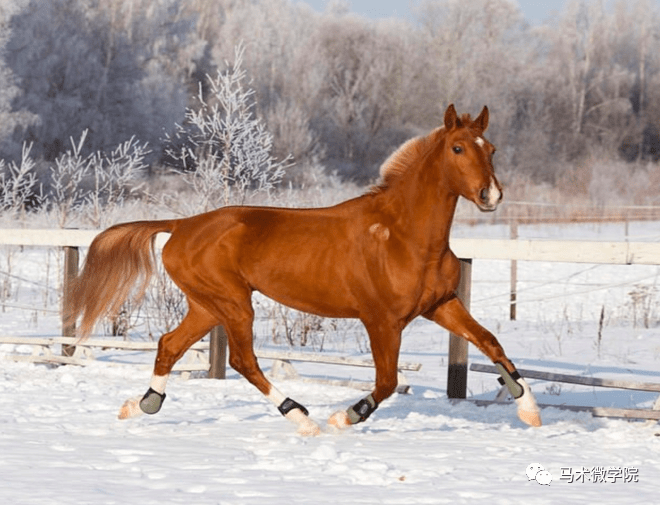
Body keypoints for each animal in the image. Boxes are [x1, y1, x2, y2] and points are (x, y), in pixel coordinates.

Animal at [65, 103, 540, 434]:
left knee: (169, 345)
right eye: (458, 148)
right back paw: (302, 418)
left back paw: (141, 405)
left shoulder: (441, 305)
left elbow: (491, 342)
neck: (402, 235)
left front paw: (529, 408)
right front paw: (345, 417)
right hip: (232, 303)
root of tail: (183, 225)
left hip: (207, 306)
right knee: (242, 359)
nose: (491, 195)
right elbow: (387, 382)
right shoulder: (382, 320)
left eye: (491, 149)